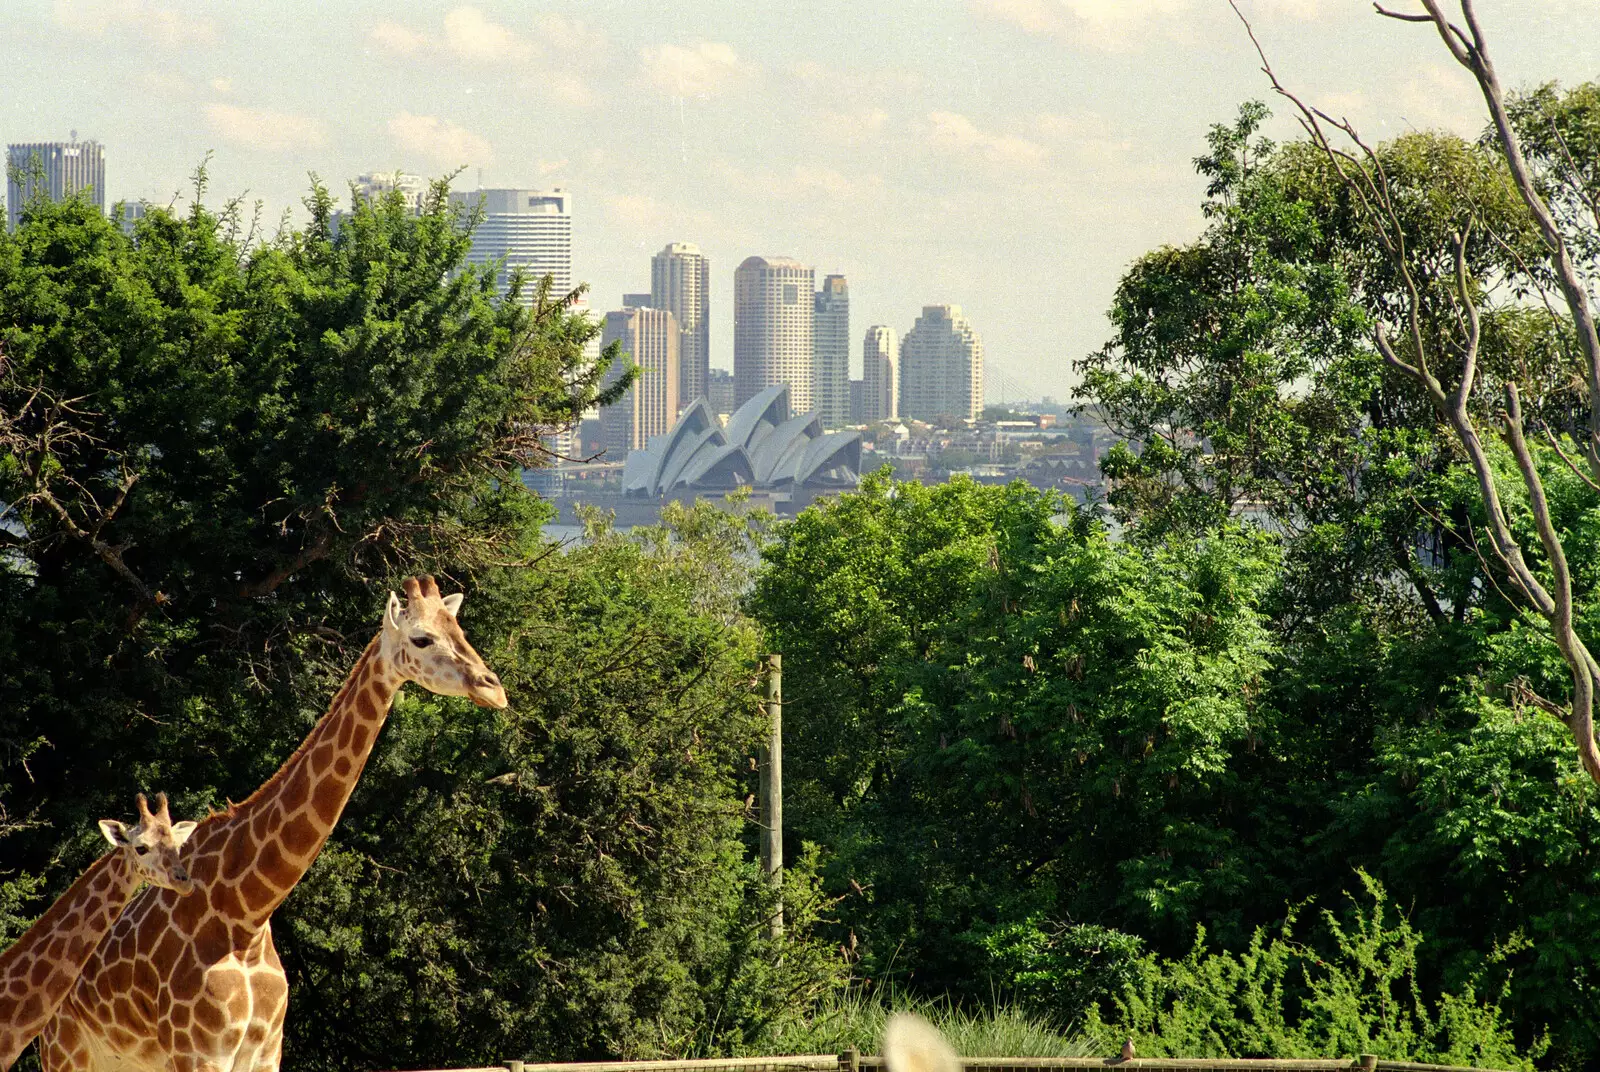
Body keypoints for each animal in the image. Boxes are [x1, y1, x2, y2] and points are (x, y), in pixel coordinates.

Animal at [39, 579, 505, 1072]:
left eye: (459, 629)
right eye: (421, 638)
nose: (494, 689)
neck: (248, 912)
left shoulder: (266, 1050)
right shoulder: (198, 1051)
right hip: (65, 1052)